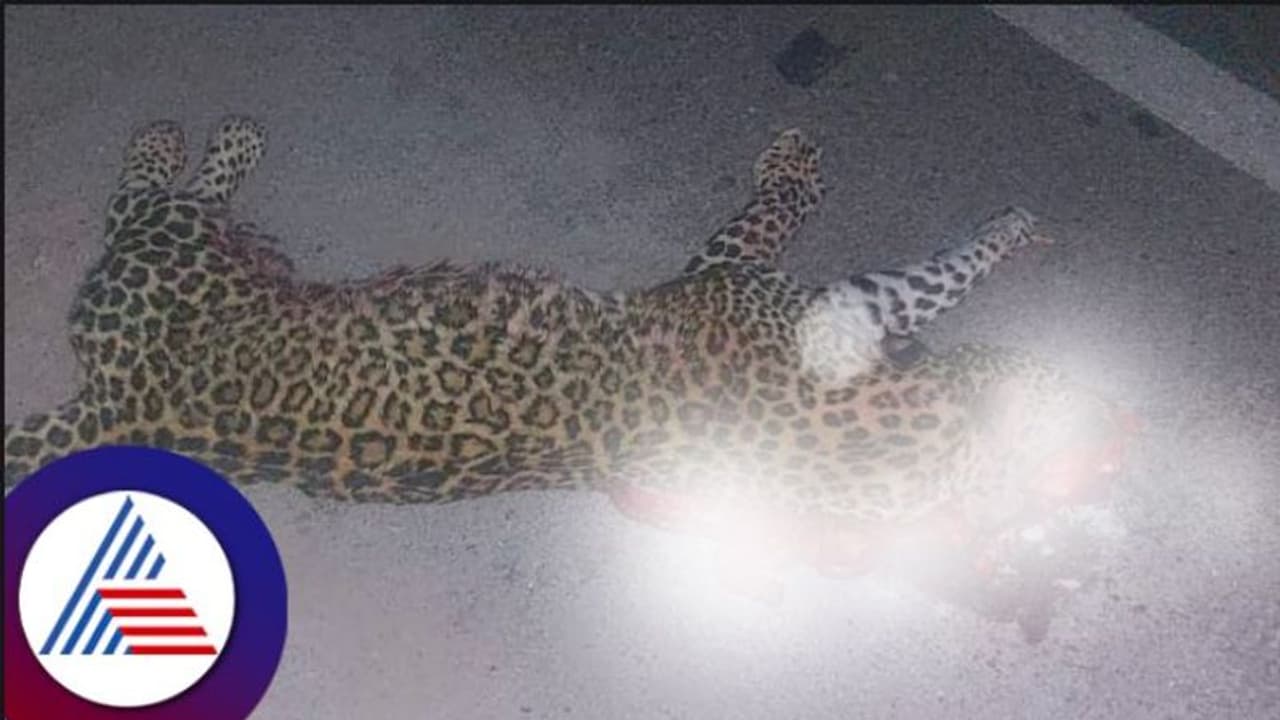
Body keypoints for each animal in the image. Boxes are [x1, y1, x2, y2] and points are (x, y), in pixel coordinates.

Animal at [3, 116, 1135, 566]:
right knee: (151, 194)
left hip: (173, 262)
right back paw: (205, 137)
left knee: (157, 198)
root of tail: (119, 408)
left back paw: (212, 146)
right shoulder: (789, 290)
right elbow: (901, 262)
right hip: (173, 258)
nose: (1115, 413)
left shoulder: (775, 295)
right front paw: (1004, 227)